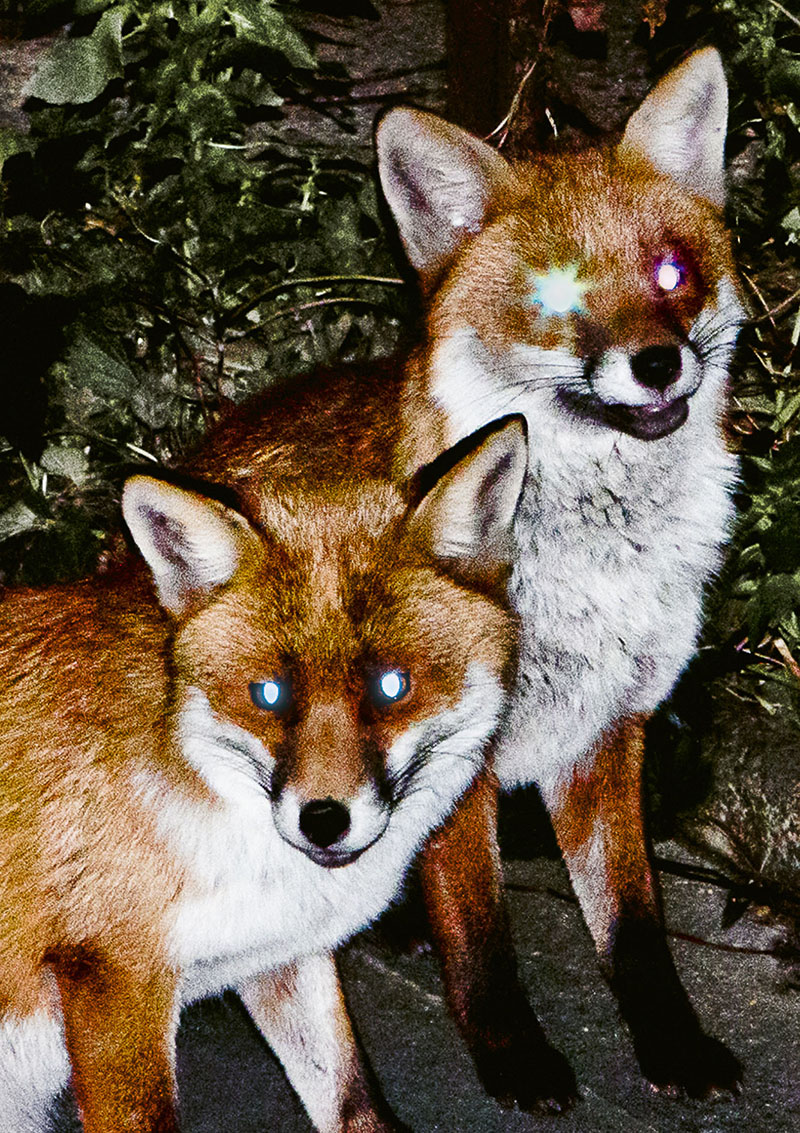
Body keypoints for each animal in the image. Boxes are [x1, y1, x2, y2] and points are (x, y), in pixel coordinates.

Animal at [0, 360, 523, 1123]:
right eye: (269, 695)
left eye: (391, 686)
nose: (324, 821)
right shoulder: (114, 976)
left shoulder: (280, 955)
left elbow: (354, 1100)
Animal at [371, 46, 743, 1105]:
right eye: (558, 295)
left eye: (673, 271)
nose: (659, 364)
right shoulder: (455, 756)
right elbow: (482, 938)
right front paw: (515, 1058)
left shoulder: (609, 732)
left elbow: (636, 930)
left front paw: (673, 1046)